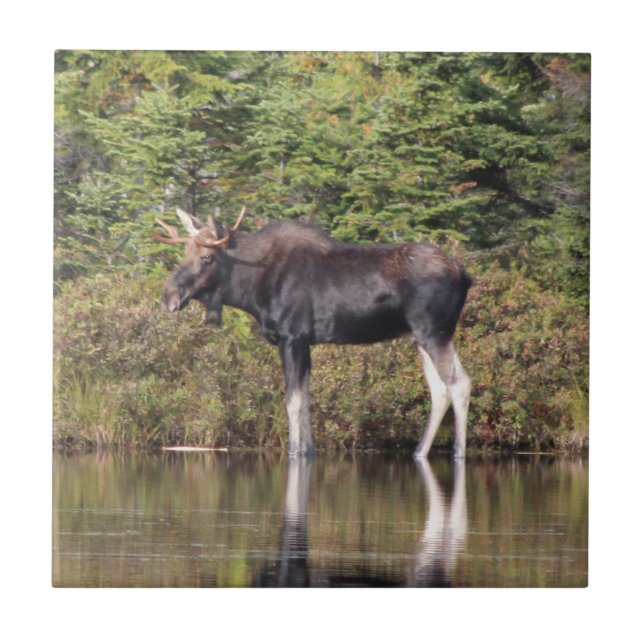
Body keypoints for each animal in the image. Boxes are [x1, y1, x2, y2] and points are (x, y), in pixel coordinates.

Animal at [154, 206, 472, 459]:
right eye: (185, 252)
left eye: (207, 257)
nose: (168, 296)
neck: (250, 290)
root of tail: (466, 275)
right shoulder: (304, 342)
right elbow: (305, 399)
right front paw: (309, 450)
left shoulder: (291, 337)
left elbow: (292, 400)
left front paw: (296, 452)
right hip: (421, 336)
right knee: (440, 389)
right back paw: (419, 452)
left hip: (434, 331)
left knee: (459, 383)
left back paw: (458, 453)